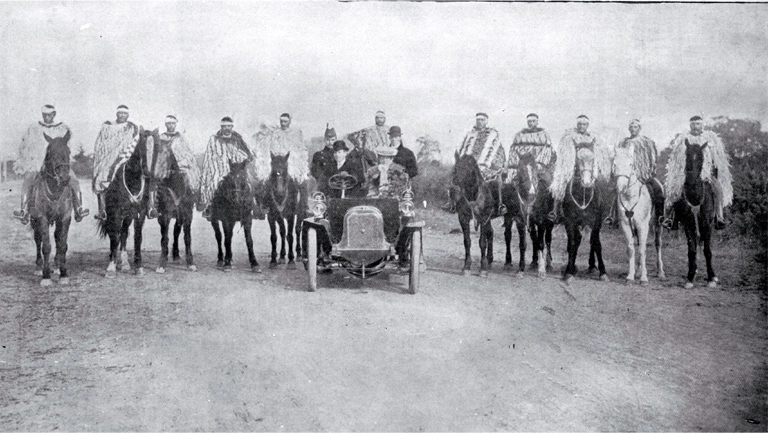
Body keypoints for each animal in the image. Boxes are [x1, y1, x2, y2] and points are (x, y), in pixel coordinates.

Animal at [28, 132, 75, 286]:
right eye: (50, 153)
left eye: (68, 152)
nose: (64, 178)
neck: (55, 190)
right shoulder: (41, 218)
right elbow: (46, 246)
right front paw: (46, 276)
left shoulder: (65, 217)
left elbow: (62, 244)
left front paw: (64, 274)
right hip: (34, 221)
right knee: (38, 240)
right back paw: (38, 267)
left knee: (57, 238)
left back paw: (57, 265)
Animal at [96, 128, 150, 276]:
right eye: (143, 147)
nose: (149, 173)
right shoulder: (115, 213)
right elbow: (114, 236)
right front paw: (111, 267)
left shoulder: (139, 213)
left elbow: (137, 237)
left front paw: (139, 267)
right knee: (114, 233)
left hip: (128, 216)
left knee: (124, 233)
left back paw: (125, 264)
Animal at [560, 145, 608, 282]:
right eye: (577, 159)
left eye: (592, 159)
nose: (586, 182)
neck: (583, 195)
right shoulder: (570, 221)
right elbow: (572, 243)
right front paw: (569, 272)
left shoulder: (596, 221)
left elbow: (596, 243)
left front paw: (603, 272)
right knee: (577, 240)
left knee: (591, 240)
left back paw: (592, 266)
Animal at [612, 145, 664, 286]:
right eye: (615, 164)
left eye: (630, 164)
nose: (621, 187)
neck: (631, 196)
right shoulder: (626, 225)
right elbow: (631, 249)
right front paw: (630, 276)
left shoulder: (643, 226)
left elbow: (642, 250)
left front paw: (644, 278)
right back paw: (638, 271)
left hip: (657, 225)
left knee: (657, 244)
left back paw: (660, 272)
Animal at [676, 138, 716, 286]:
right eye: (687, 156)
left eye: (701, 158)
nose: (692, 182)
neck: (695, 197)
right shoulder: (688, 224)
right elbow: (692, 251)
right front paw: (690, 277)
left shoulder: (707, 224)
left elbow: (707, 250)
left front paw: (711, 278)